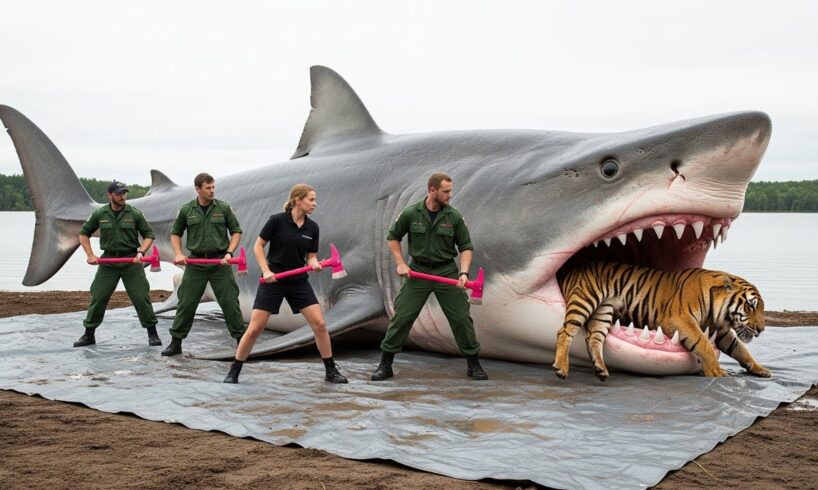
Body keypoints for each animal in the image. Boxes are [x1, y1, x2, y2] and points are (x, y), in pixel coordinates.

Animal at [553, 262, 770, 381]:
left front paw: (761, 369)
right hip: (585, 300)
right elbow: (704, 344)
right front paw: (716, 371)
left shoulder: (723, 332)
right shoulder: (681, 319)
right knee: (564, 331)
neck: (717, 314)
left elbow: (741, 350)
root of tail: (571, 269)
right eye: (751, 306)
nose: (761, 329)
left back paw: (601, 370)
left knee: (594, 338)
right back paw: (561, 368)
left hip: (603, 312)